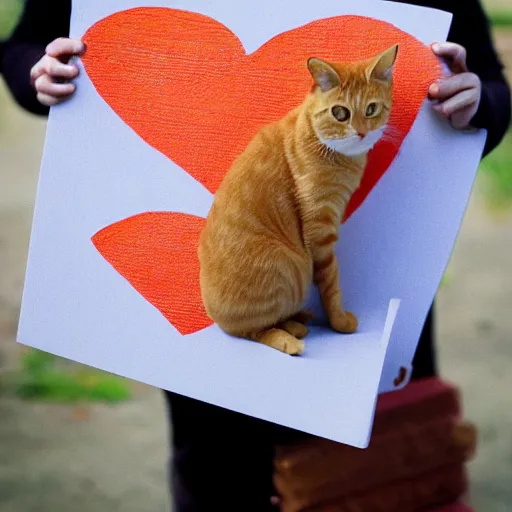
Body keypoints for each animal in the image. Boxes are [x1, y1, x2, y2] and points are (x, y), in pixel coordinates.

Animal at [198, 44, 398, 356]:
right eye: (340, 113)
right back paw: (289, 337)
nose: (362, 132)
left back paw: (299, 320)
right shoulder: (320, 233)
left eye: (371, 109)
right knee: (253, 330)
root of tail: (216, 318)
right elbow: (331, 285)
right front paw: (340, 321)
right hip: (288, 263)